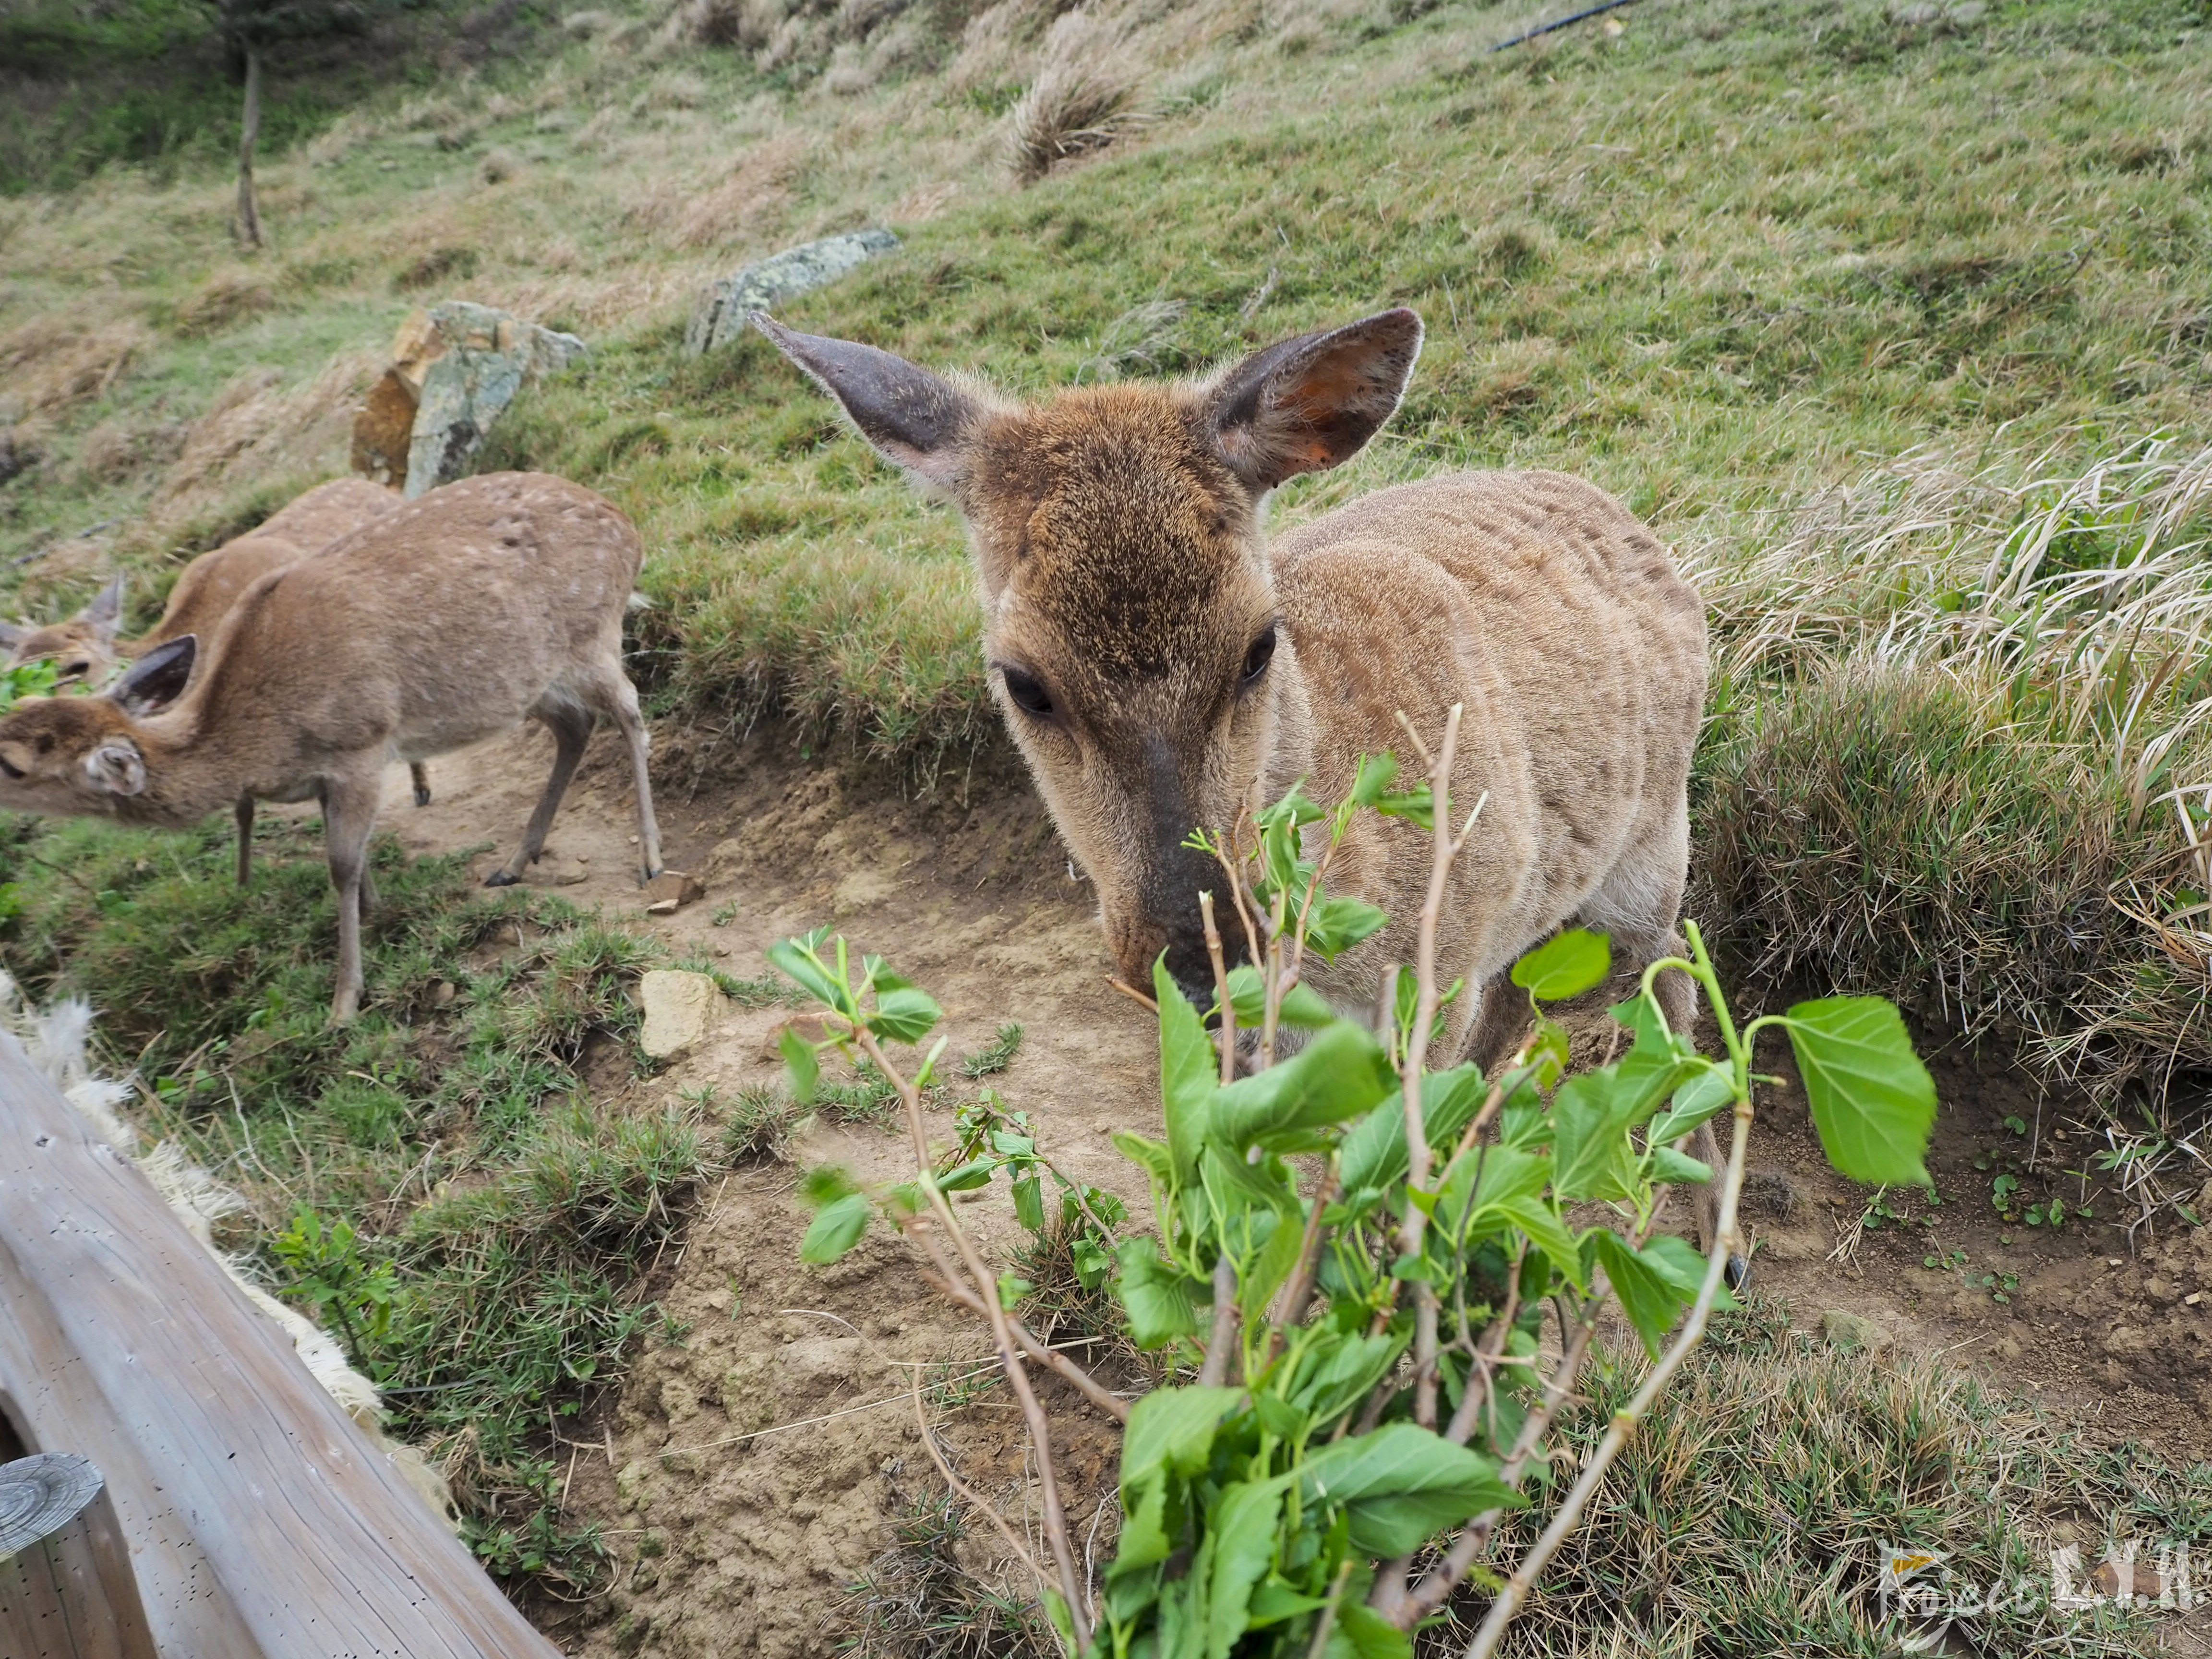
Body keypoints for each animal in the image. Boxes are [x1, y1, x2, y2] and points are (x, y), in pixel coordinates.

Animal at [0, 471, 659, 1026]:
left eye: (12, 765)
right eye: (18, 704)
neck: (261, 742)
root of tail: (628, 525)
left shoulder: (361, 744)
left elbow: (341, 863)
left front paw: (344, 1001)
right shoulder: (322, 775)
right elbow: (352, 857)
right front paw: (375, 913)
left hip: (593, 632)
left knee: (629, 712)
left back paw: (650, 860)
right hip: (530, 681)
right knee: (576, 727)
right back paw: (515, 862)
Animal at [761, 310, 1725, 1274]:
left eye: (1260, 644)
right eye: (1024, 682)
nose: (1199, 954)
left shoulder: (1439, 968)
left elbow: (1376, 1167)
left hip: (1656, 841)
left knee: (1672, 974)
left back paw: (1717, 1227)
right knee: (1528, 988)